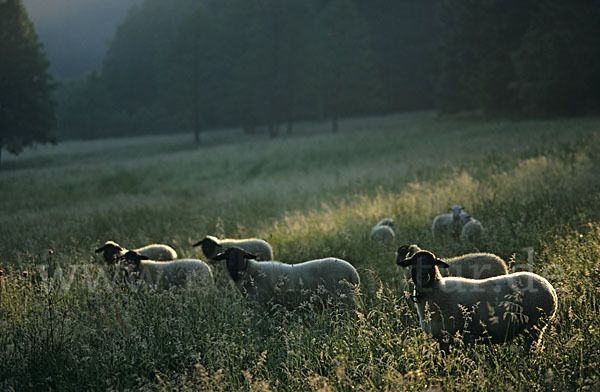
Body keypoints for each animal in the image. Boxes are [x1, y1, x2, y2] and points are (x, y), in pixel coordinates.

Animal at [212, 248, 358, 310]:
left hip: (345, 298)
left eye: (242, 256)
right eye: (226, 256)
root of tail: (353, 273)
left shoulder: (262, 302)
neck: (250, 271)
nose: (234, 269)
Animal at [398, 250, 556, 350]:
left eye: (432, 263)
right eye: (413, 263)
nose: (423, 278)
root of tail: (549, 288)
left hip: (535, 327)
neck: (437, 290)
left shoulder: (448, 337)